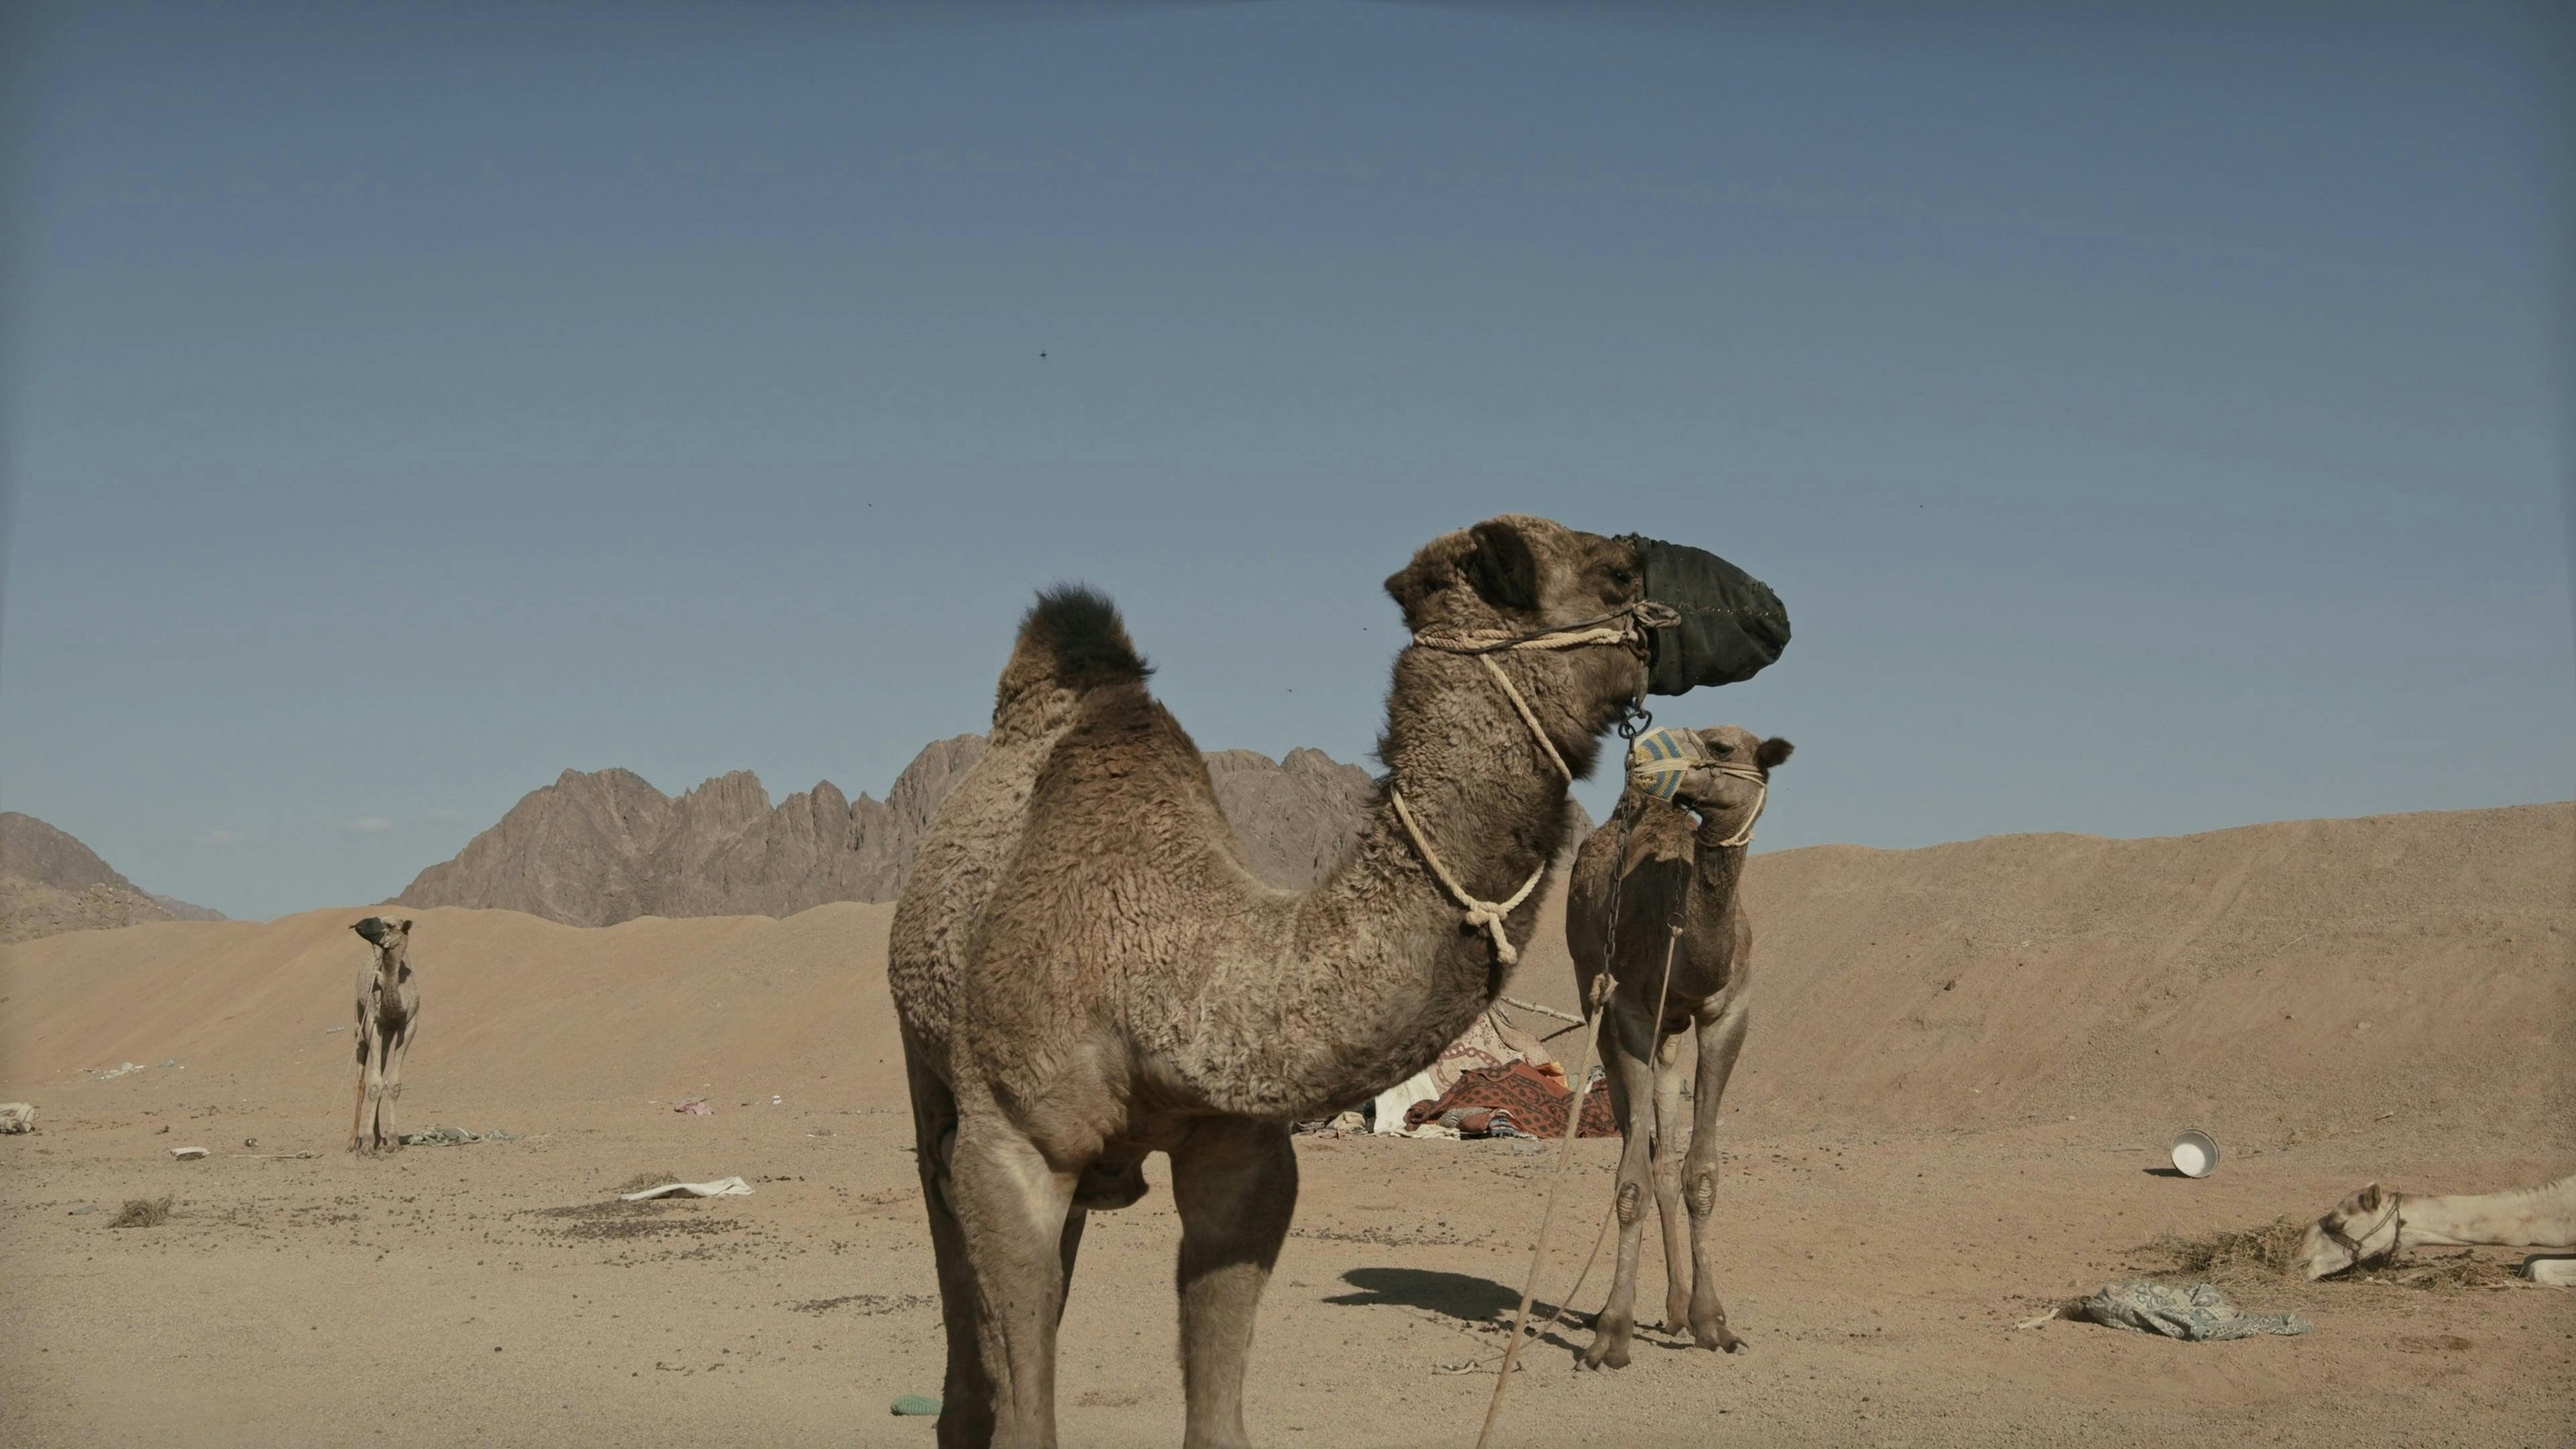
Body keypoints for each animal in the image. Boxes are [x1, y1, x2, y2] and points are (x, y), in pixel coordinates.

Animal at [347, 912, 422, 1150]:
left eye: (389, 925)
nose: (359, 925)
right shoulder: (373, 1022)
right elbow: (373, 1084)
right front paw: (367, 1144)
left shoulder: (409, 1025)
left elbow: (393, 1083)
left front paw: (392, 1141)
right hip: (359, 1024)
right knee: (362, 1081)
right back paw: (354, 1141)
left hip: (387, 1037)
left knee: (380, 1068)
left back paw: (379, 1137)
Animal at [891, 513, 1752, 1433]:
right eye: (1620, 571)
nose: (1767, 612)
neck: (1166, 978)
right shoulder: (1009, 1149)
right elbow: (1026, 1407)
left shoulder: (1245, 1157)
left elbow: (1218, 1417)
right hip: (930, 1074)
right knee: (950, 1237)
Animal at [1566, 722, 1792, 1361]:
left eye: (1721, 747)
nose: (1639, 758)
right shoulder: (1630, 1015)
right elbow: (1630, 1182)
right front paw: (1612, 1332)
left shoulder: (1728, 1014)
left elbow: (1701, 1174)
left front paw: (1711, 1321)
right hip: (1597, 1001)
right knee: (1641, 1150)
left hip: (1670, 1042)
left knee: (1665, 1159)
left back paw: (1675, 1311)